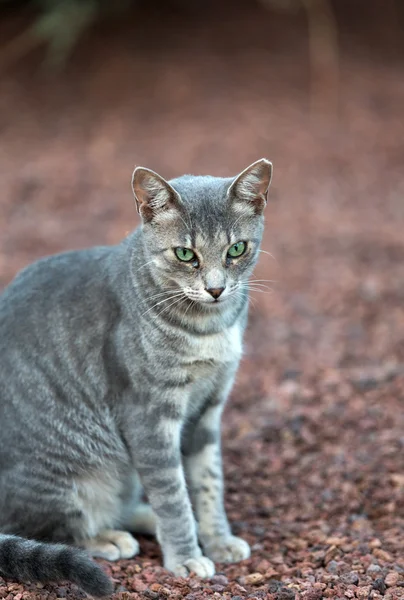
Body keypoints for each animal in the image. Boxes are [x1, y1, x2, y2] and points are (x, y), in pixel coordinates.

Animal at [0, 158, 274, 596]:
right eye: (185, 254)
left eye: (236, 249)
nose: (216, 289)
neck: (210, 327)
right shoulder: (149, 417)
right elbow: (172, 493)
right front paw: (186, 557)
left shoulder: (208, 410)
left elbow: (207, 482)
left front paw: (217, 538)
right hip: (67, 469)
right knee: (51, 529)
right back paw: (109, 537)